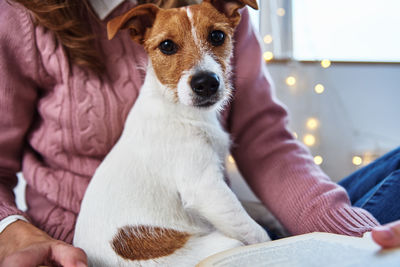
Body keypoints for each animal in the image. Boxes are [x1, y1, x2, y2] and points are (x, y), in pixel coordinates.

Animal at [73, 1, 270, 266]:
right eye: (167, 45)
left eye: (217, 36)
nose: (206, 83)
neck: (178, 109)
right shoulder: (207, 188)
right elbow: (255, 231)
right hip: (224, 243)